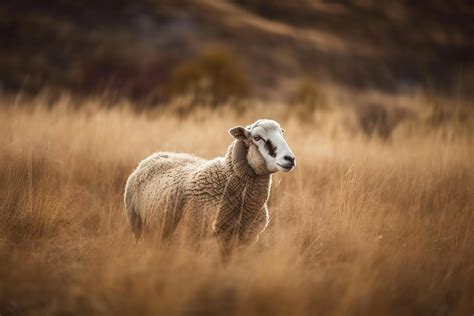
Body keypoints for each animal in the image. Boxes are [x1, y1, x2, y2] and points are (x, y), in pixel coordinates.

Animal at [125, 119, 296, 252]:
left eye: (282, 134)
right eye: (257, 137)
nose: (290, 159)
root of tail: (155, 156)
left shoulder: (244, 241)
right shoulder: (196, 237)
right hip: (137, 225)